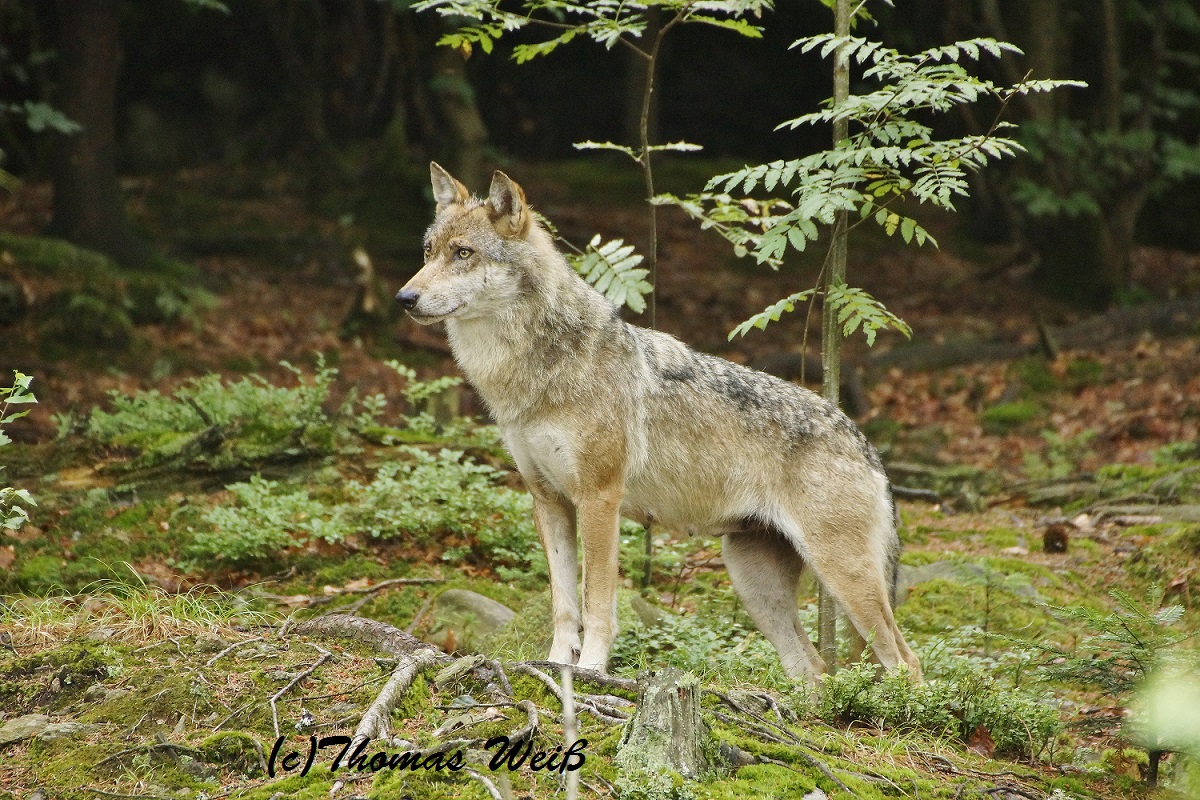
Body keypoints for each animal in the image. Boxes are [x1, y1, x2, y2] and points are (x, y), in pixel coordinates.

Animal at [398, 163, 921, 681]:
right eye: (428, 251)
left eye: (463, 253)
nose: (405, 296)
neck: (531, 371)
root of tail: (865, 443)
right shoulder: (548, 501)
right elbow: (564, 606)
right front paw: (554, 667)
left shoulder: (599, 500)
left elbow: (597, 604)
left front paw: (591, 671)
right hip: (755, 585)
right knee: (813, 669)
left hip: (841, 577)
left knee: (906, 660)